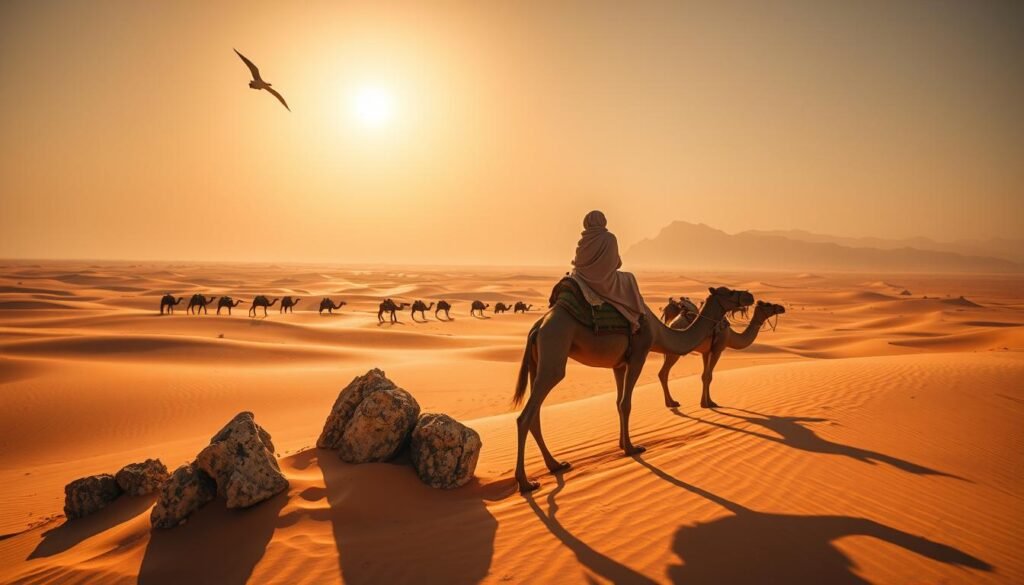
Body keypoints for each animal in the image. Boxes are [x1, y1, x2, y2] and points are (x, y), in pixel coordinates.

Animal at [512, 285, 754, 493]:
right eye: (729, 292)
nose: (749, 296)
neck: (658, 332)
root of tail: (538, 327)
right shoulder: (639, 354)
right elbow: (626, 403)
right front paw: (631, 448)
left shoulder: (619, 364)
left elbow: (618, 402)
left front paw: (622, 444)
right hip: (554, 353)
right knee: (525, 416)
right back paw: (526, 483)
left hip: (536, 362)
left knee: (534, 414)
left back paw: (555, 464)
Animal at [657, 300, 786, 409]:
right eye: (768, 304)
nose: (781, 308)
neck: (730, 336)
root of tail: (671, 325)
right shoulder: (718, 349)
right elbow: (709, 376)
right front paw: (706, 404)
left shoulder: (706, 352)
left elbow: (705, 375)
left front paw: (708, 402)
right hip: (674, 352)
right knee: (663, 373)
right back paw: (671, 403)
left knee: (664, 373)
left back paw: (670, 402)